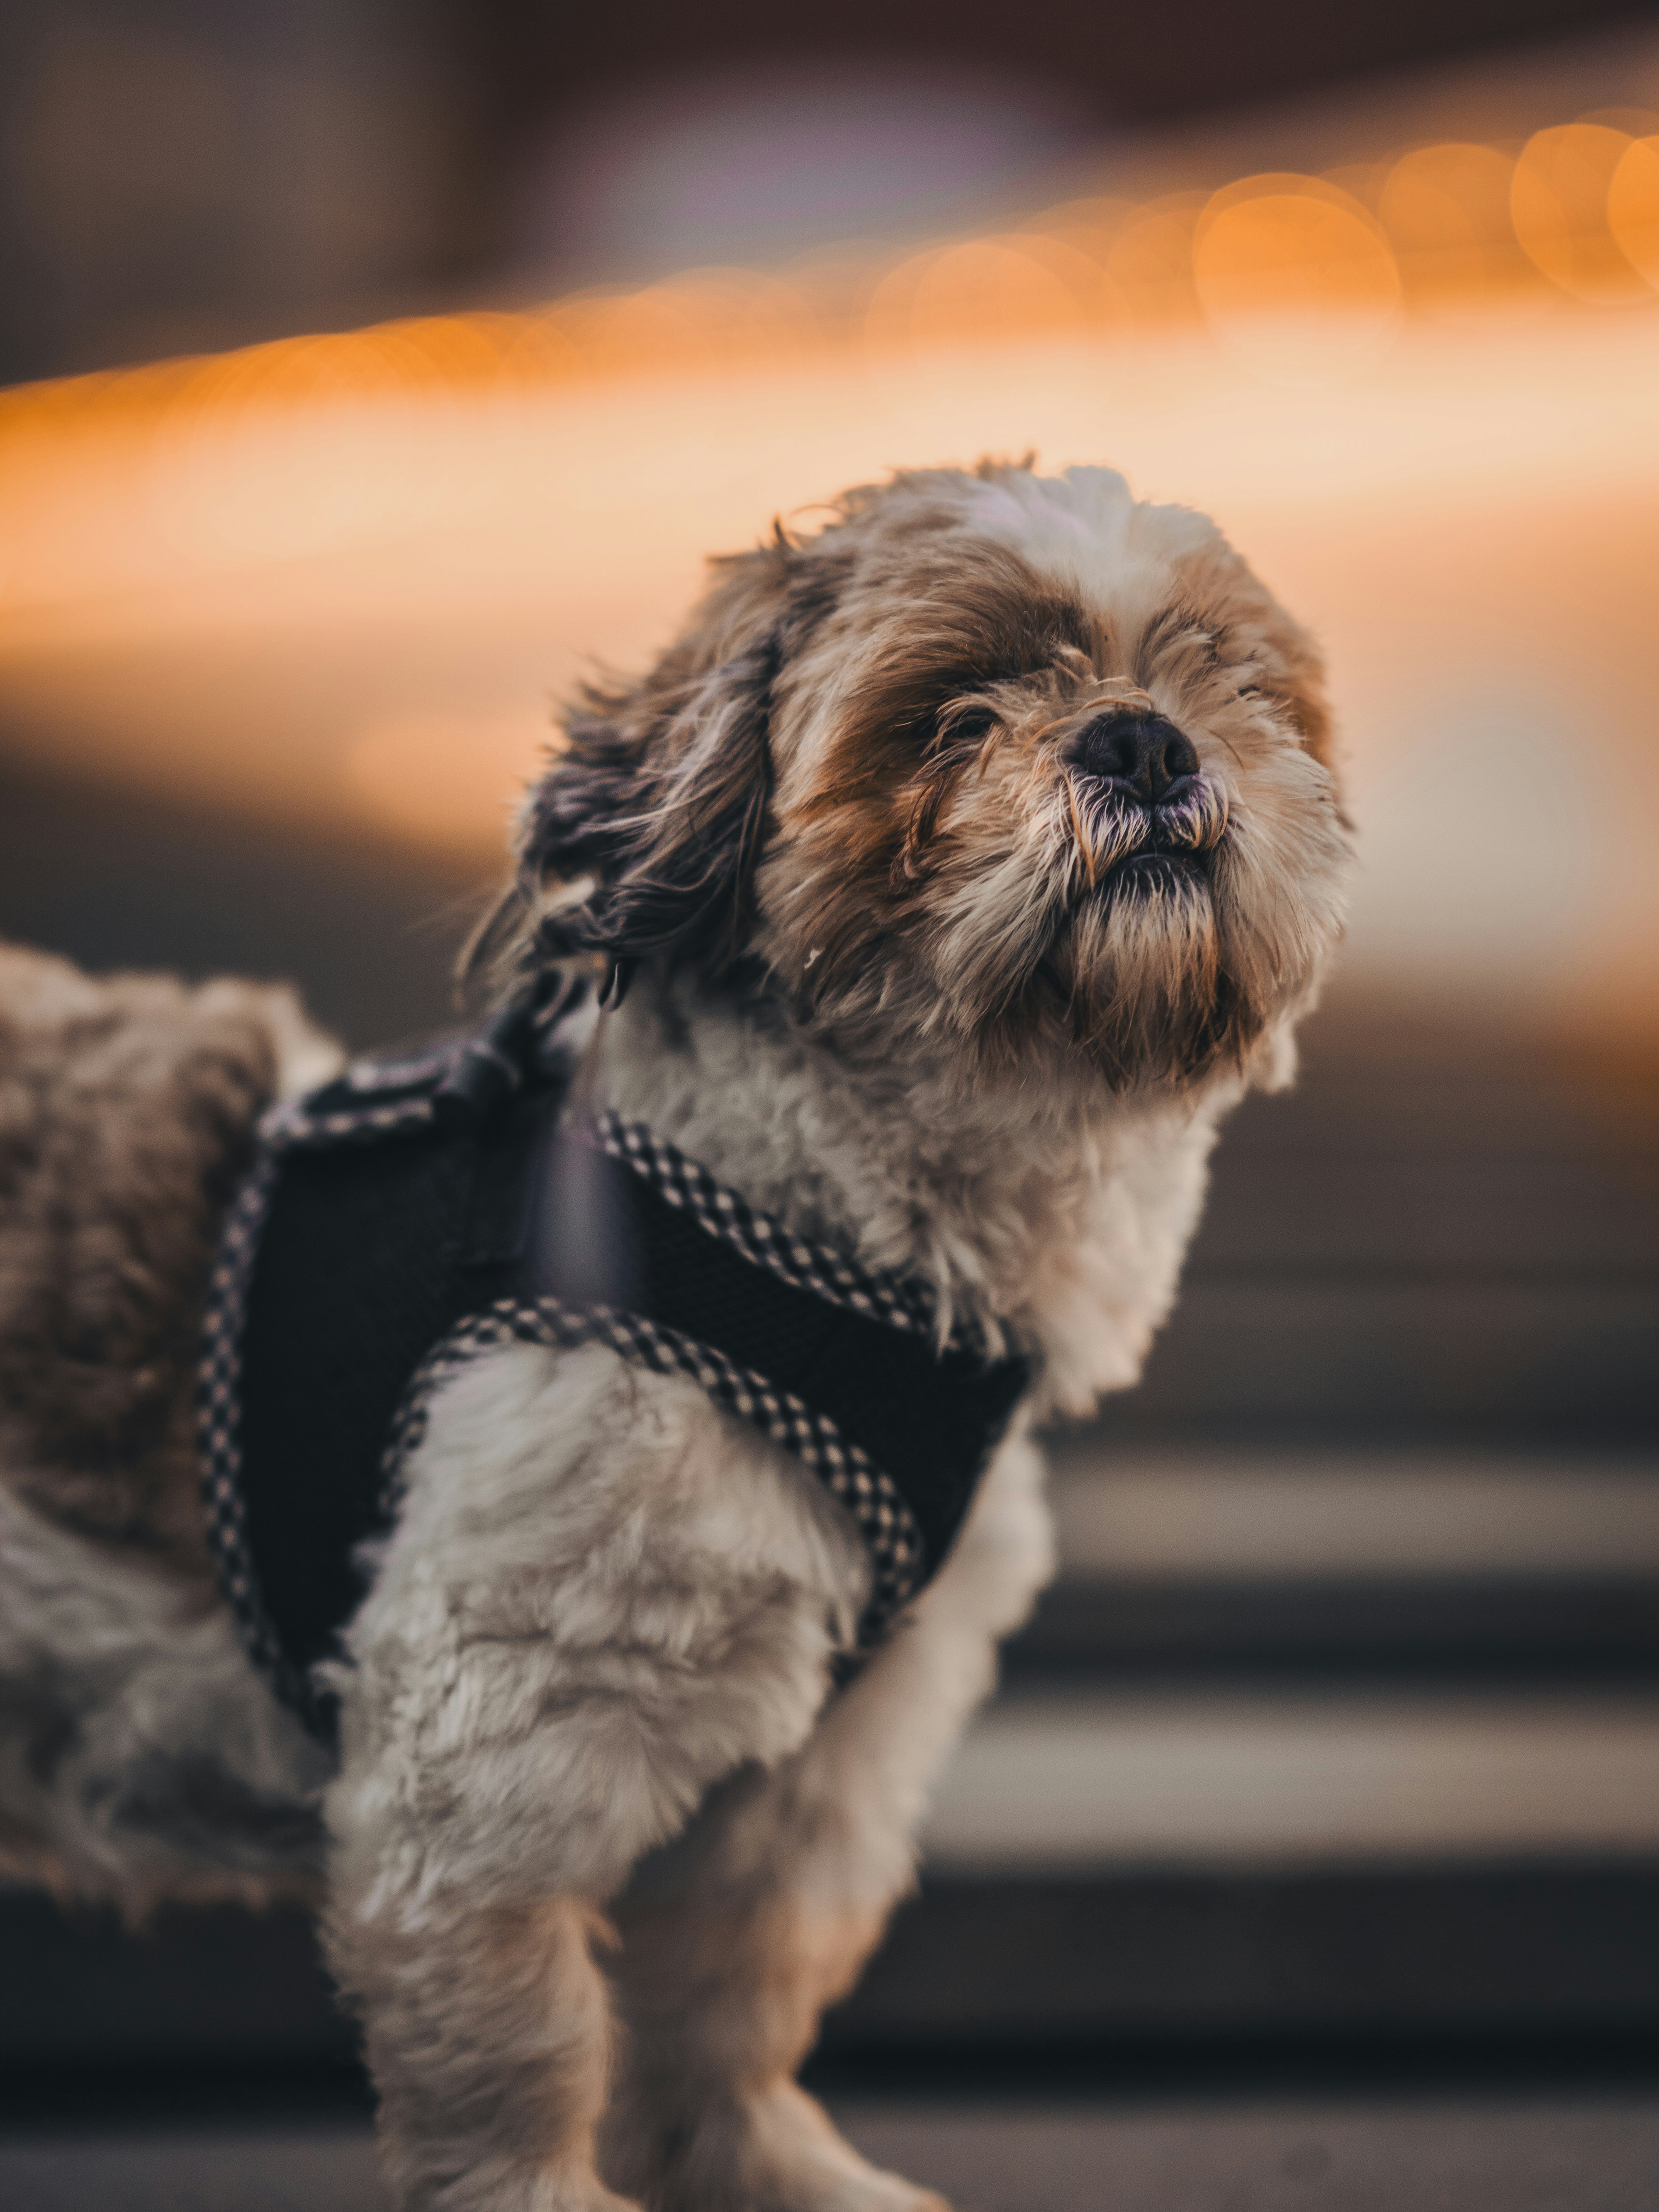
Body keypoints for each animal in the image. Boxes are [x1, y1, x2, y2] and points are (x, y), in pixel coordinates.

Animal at [0, 467, 1354, 2212]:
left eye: (1226, 682)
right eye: (953, 716)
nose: (1140, 739)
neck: (826, 1240)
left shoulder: (822, 1765)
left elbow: (735, 1986)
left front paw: (768, 2167)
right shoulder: (493, 1738)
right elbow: (516, 2043)